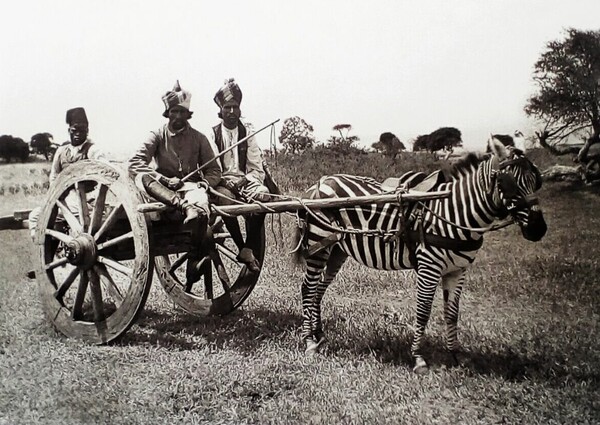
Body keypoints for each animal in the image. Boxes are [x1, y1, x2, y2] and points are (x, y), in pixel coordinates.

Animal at [292, 136, 548, 372]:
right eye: (509, 183)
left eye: (536, 181)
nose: (539, 230)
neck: (454, 212)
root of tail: (319, 183)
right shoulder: (429, 266)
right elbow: (423, 311)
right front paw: (418, 358)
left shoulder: (458, 270)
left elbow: (452, 313)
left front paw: (456, 355)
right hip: (317, 244)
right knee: (308, 288)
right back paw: (309, 341)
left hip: (336, 249)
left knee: (319, 289)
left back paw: (318, 335)